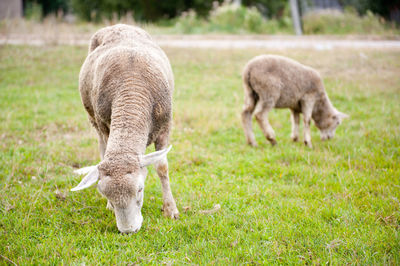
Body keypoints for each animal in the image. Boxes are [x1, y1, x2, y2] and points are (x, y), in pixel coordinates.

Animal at [71, 24, 179, 233]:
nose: (129, 230)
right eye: (105, 193)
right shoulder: (105, 125)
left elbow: (162, 167)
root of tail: (118, 25)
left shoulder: (165, 128)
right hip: (94, 121)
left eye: (140, 189)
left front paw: (171, 210)